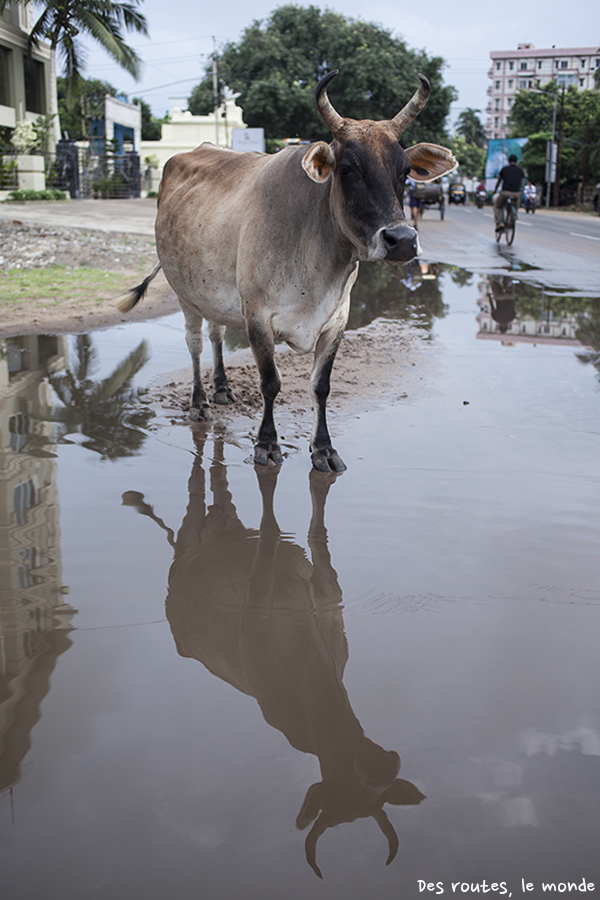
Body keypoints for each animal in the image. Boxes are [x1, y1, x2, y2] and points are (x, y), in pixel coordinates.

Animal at [124, 72, 458, 472]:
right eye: (347, 169)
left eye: (405, 172)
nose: (403, 240)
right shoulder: (257, 317)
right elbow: (270, 382)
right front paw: (267, 444)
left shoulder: (337, 320)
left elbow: (320, 386)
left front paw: (323, 449)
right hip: (184, 293)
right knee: (194, 343)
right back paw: (200, 402)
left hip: (212, 292)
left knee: (216, 335)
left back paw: (222, 389)